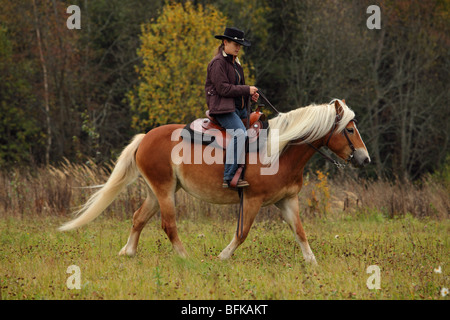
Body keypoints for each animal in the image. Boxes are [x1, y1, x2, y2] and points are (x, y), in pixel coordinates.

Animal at [59, 99, 370, 264]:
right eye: (350, 129)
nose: (365, 159)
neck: (279, 151)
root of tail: (145, 138)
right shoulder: (253, 200)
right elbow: (242, 234)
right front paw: (222, 257)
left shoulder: (287, 201)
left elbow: (301, 233)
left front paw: (312, 263)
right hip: (164, 191)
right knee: (168, 225)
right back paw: (185, 258)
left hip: (156, 191)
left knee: (138, 218)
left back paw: (129, 252)